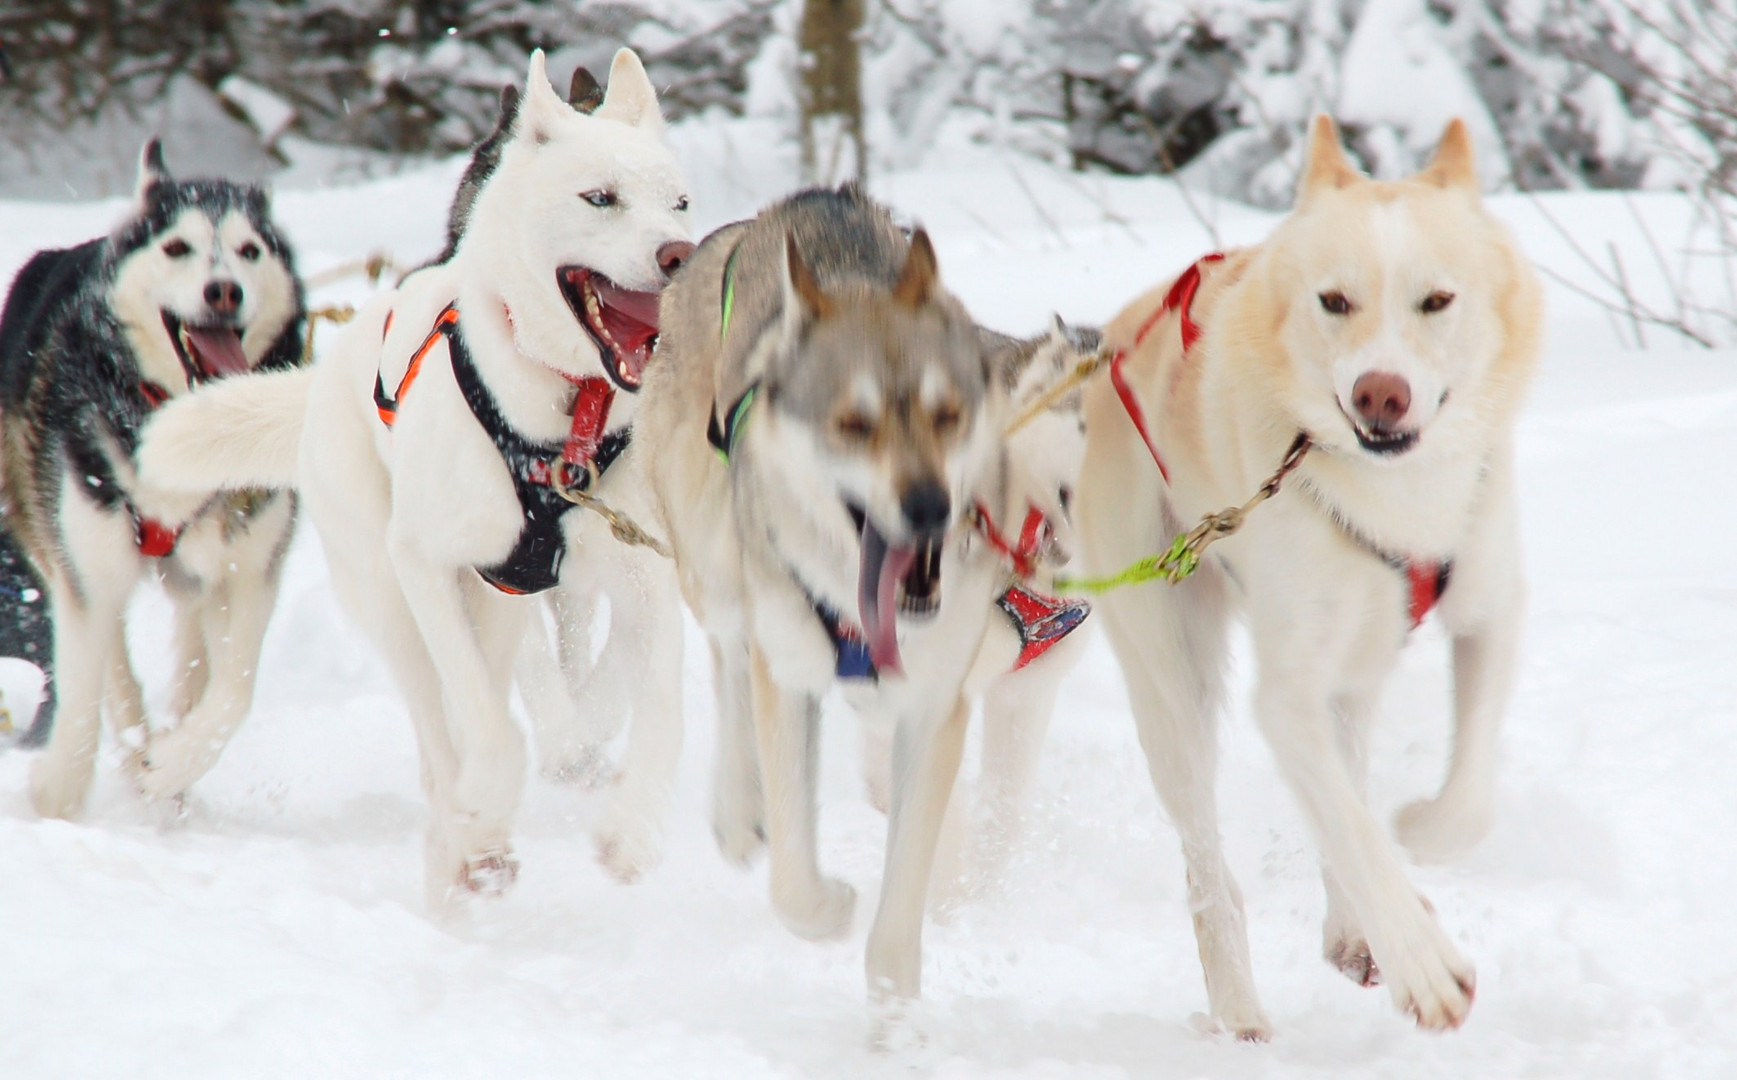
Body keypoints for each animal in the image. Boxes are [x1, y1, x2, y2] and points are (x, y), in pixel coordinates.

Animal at [0, 145, 305, 819]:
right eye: (177, 248)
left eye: (249, 251)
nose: (223, 290)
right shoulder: (88, 564)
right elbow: (84, 692)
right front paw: (59, 797)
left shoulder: (250, 570)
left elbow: (233, 692)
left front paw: (170, 767)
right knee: (110, 660)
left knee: (194, 659)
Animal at [137, 48, 691, 902]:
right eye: (600, 197)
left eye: (679, 203)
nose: (678, 254)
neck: (571, 416)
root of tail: (327, 376)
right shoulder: (426, 563)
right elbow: (488, 731)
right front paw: (487, 802)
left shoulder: (642, 578)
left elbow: (651, 706)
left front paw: (629, 831)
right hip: (389, 595)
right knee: (441, 730)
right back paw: (466, 836)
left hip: (496, 604)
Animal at [1076, 114, 1542, 1034]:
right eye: (1334, 301)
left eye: (1436, 301)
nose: (1378, 395)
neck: (1396, 499)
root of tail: (1115, 334)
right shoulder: (1283, 697)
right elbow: (1352, 831)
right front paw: (1422, 960)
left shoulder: (1488, 613)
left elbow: (1458, 802)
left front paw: (1422, 834)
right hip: (1174, 687)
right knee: (1210, 866)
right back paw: (1239, 1007)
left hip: (1354, 664)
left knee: (1345, 779)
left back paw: (1352, 929)